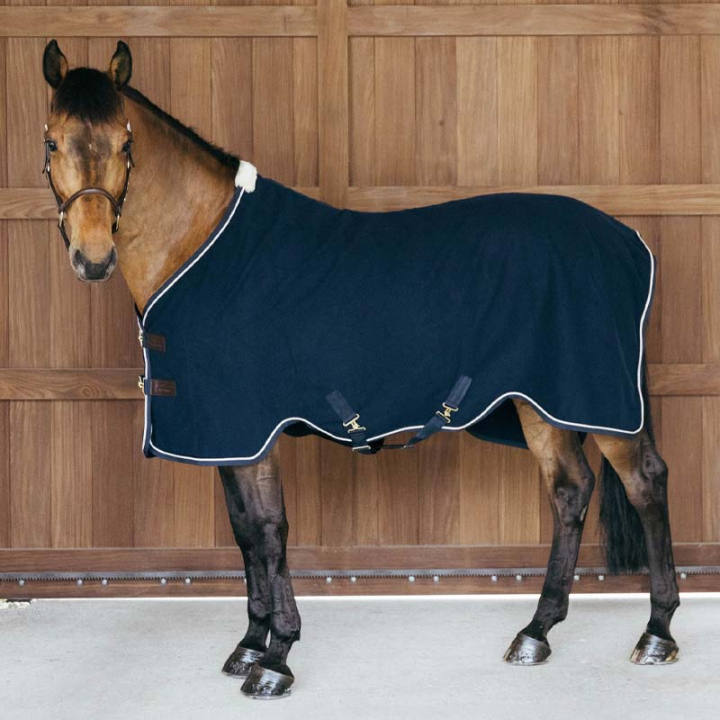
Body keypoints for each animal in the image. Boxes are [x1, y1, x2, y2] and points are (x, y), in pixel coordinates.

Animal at [39, 39, 680, 699]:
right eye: (52, 142)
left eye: (125, 143)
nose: (93, 258)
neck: (202, 245)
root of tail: (626, 239)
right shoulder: (226, 436)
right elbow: (244, 532)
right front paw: (250, 643)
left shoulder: (253, 430)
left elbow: (268, 530)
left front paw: (276, 658)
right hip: (540, 404)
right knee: (570, 491)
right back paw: (536, 632)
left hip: (600, 405)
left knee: (645, 482)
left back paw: (656, 633)